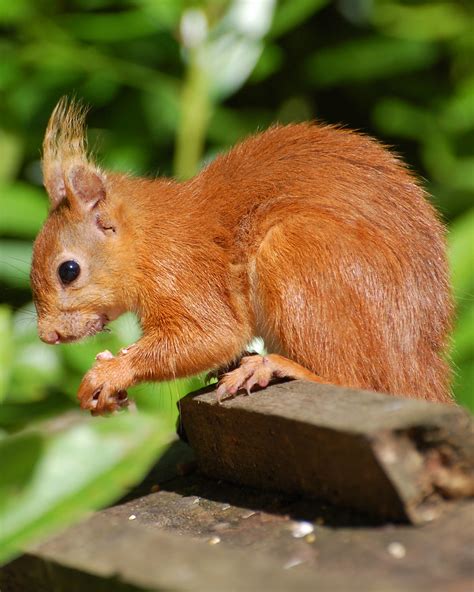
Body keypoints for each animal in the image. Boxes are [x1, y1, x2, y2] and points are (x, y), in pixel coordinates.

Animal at [29, 99, 452, 414]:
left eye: (68, 270)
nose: (47, 336)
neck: (150, 240)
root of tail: (417, 365)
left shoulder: (186, 274)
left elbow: (213, 336)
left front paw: (112, 371)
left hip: (298, 254)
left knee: (352, 380)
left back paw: (271, 366)